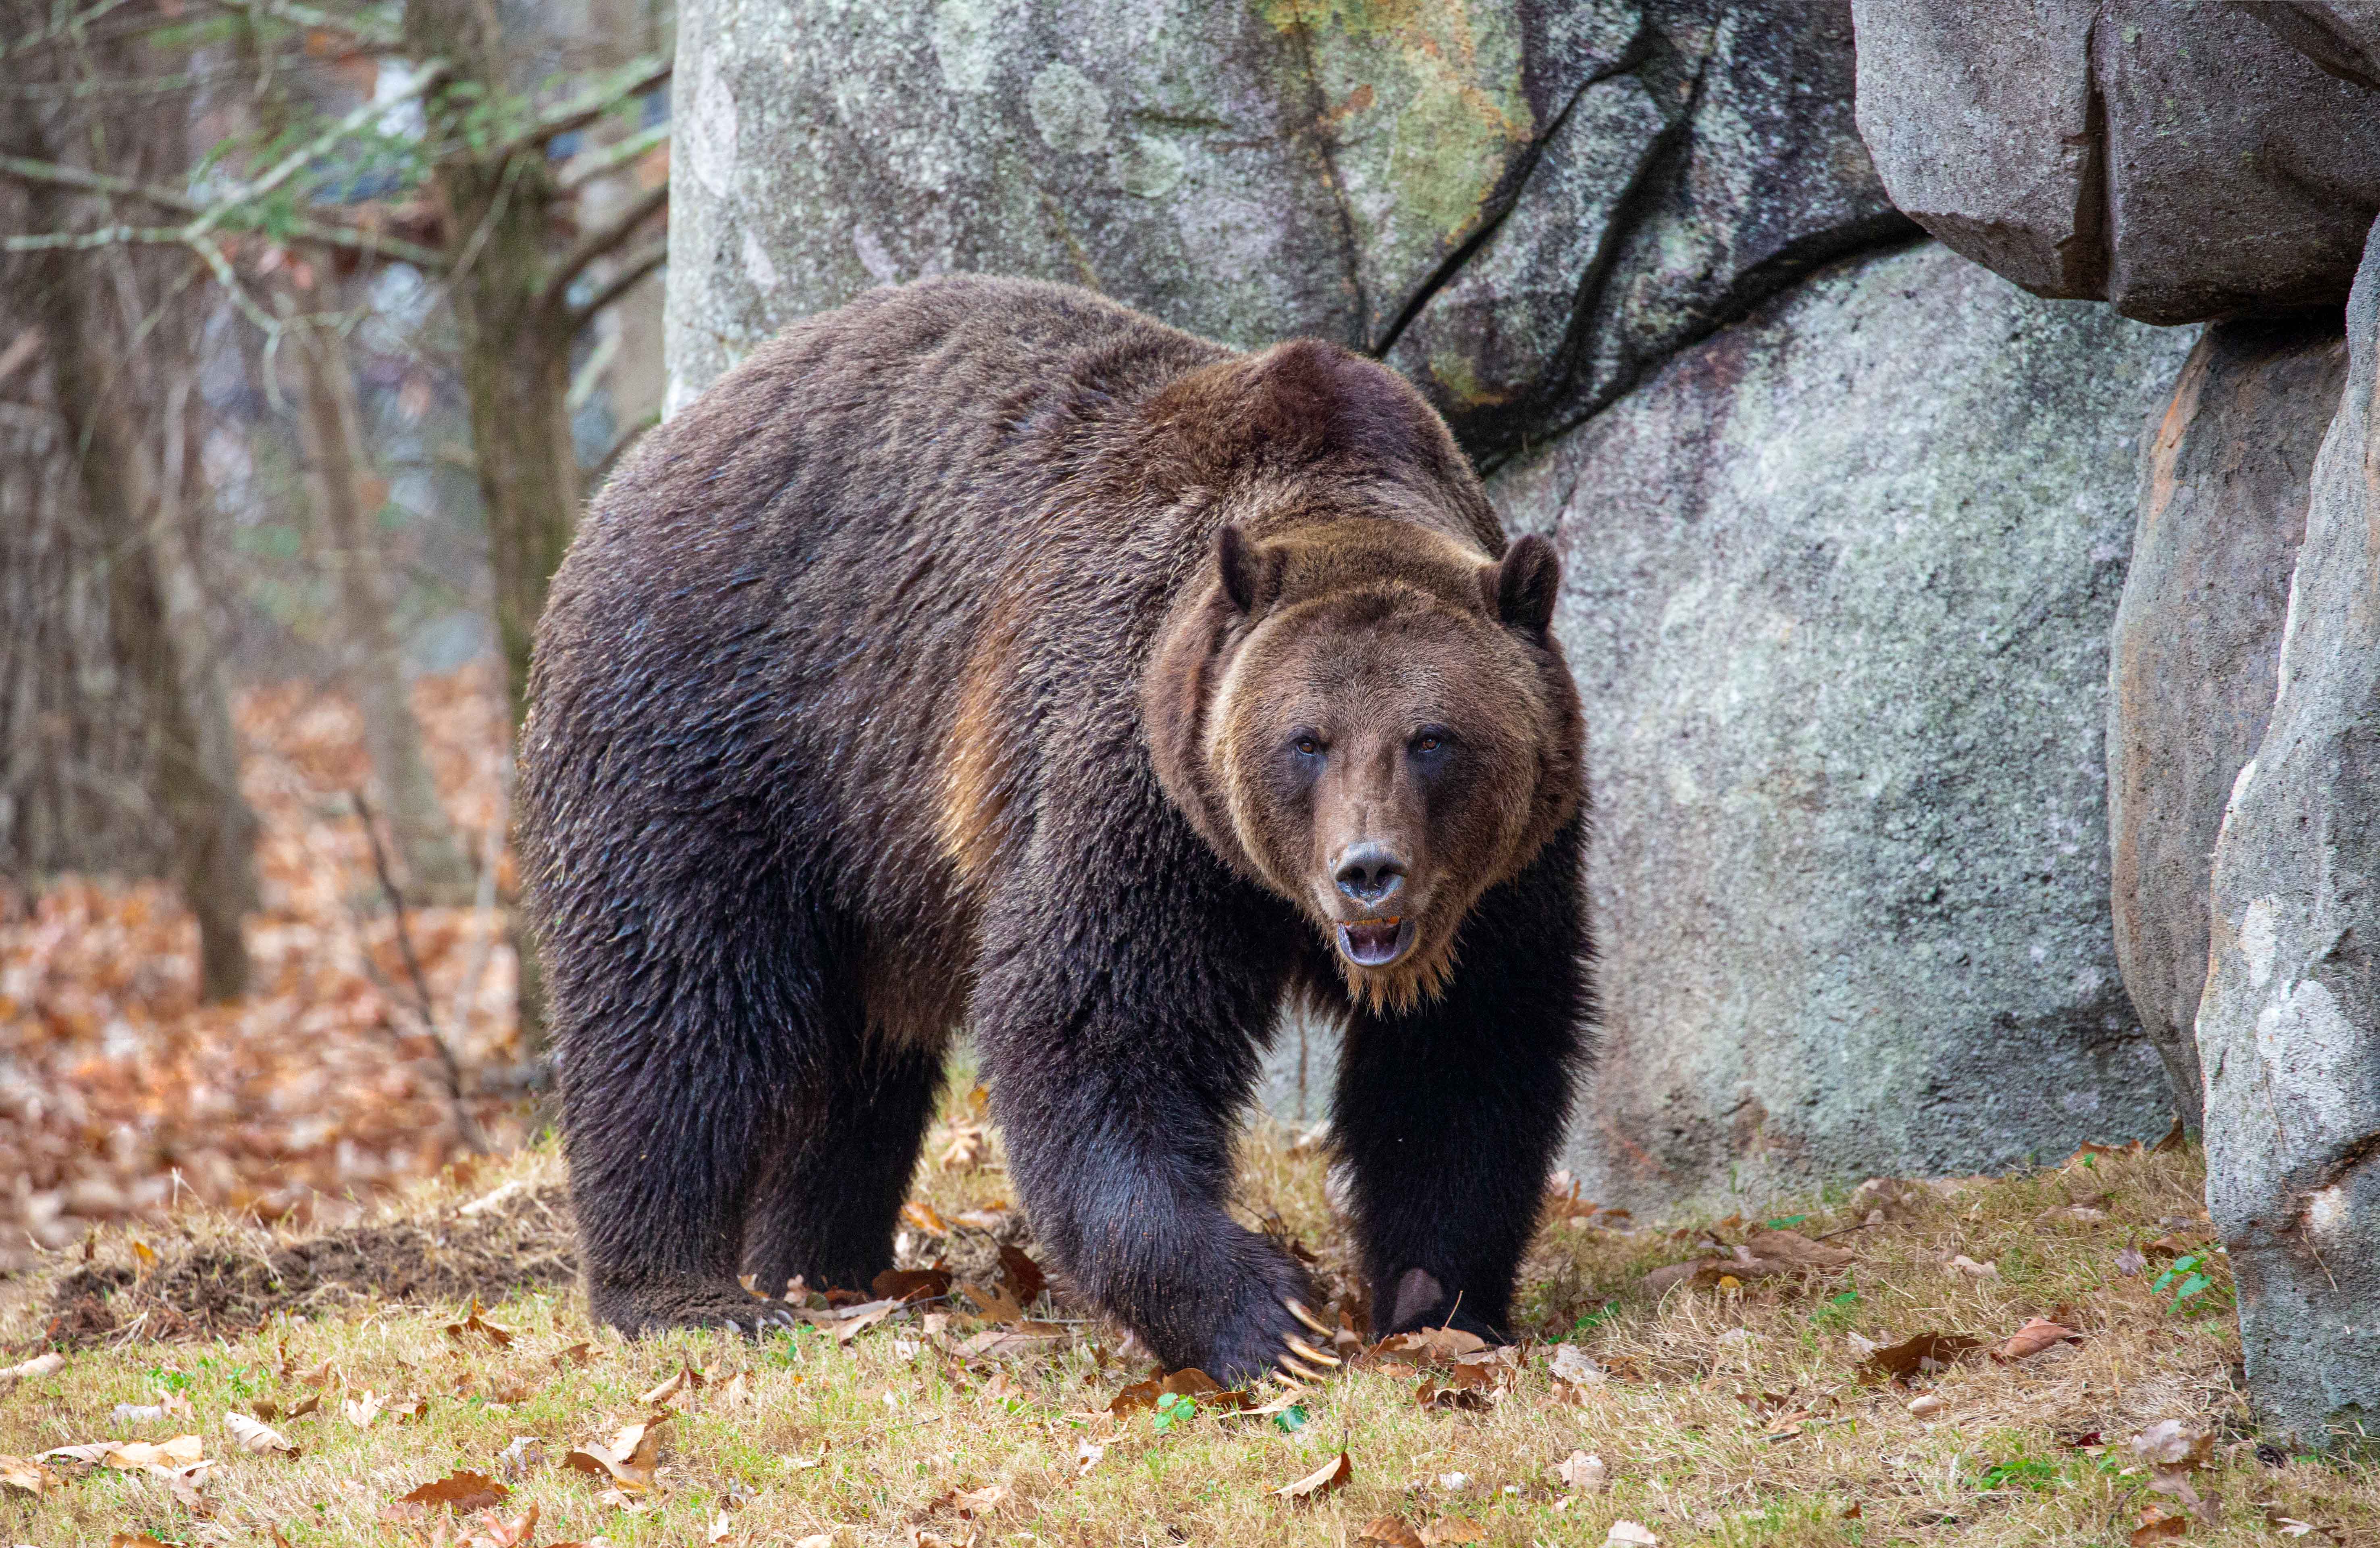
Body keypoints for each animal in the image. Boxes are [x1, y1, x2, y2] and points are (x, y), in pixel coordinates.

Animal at [530, 271, 1590, 1381]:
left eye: (1432, 738)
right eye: (1307, 740)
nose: (1367, 872)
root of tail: (650, 453)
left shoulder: (1512, 875)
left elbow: (1469, 1058)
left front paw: (1438, 1305)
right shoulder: (1129, 782)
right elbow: (1095, 1029)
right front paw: (1268, 1319)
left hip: (874, 859)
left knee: (856, 1064)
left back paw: (819, 1266)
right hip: (724, 726)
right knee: (679, 1006)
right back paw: (681, 1292)